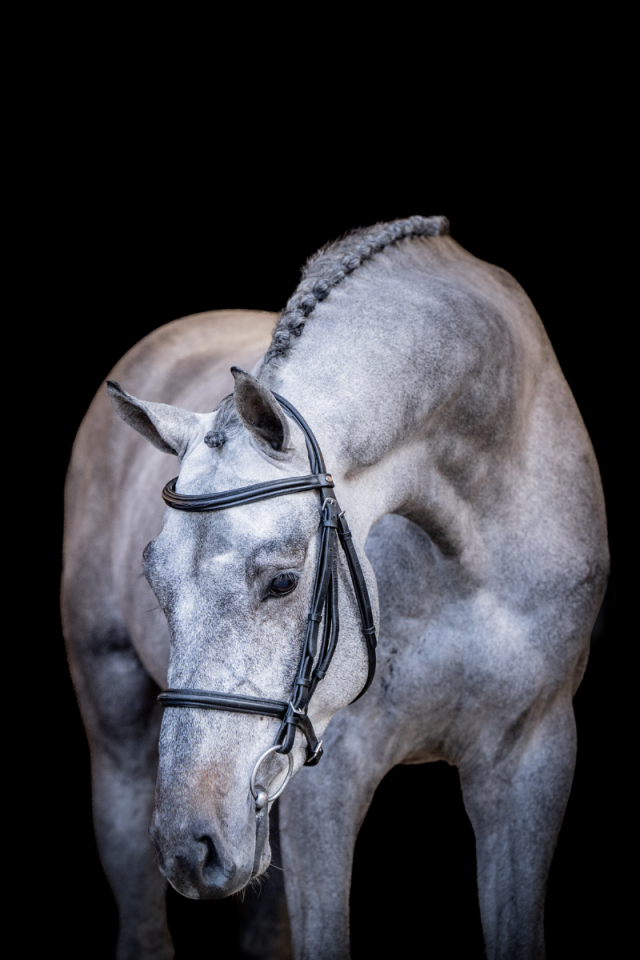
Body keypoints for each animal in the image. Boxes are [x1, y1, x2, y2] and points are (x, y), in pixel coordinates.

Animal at [62, 215, 608, 959]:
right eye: (157, 584)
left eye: (283, 581)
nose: (189, 847)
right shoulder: (331, 781)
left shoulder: (533, 760)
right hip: (125, 747)